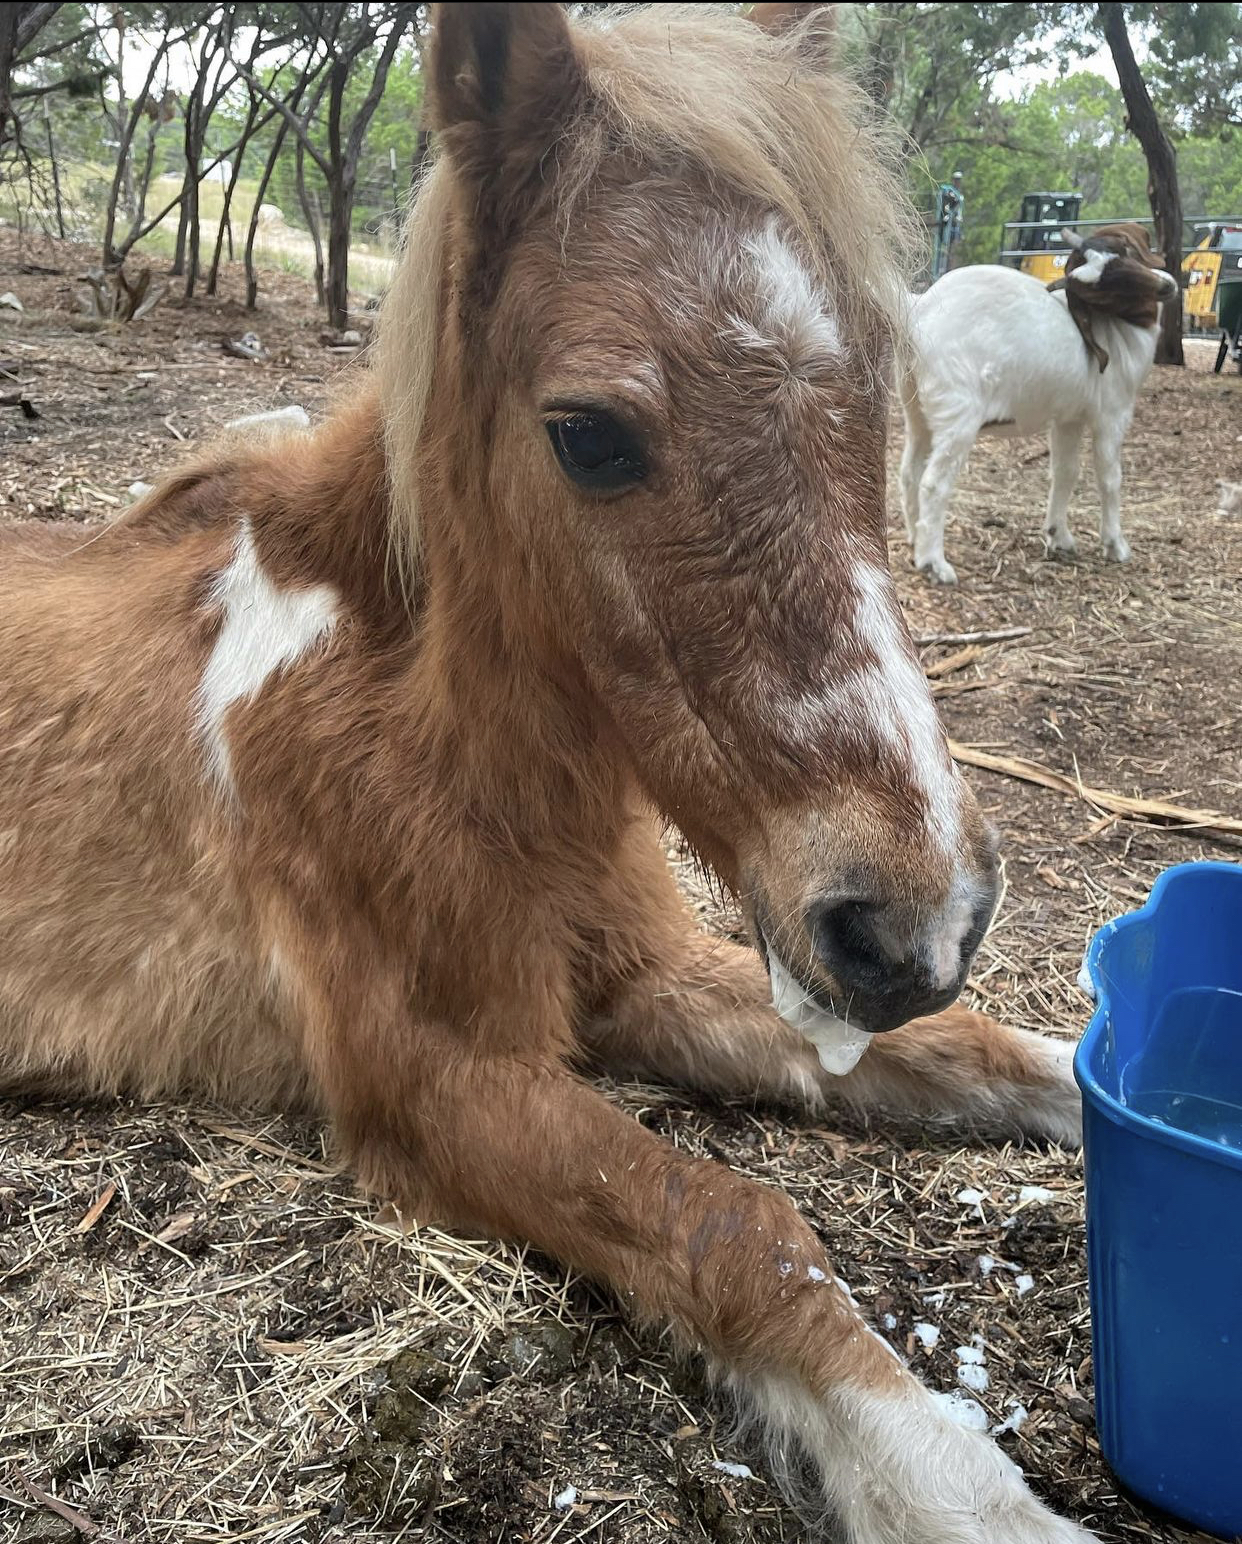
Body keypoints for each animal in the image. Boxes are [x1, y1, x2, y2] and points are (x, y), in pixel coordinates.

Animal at [0, 5, 1090, 1539]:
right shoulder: (436, 1083)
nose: (913, 923)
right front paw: (958, 1491)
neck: (420, 733)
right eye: (588, 433)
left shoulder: (652, 976)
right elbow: (737, 1223)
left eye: (876, 387)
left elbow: (979, 1053)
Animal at [900, 224, 1179, 583]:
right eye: (1109, 289)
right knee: (933, 483)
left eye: (1125, 253)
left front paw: (1059, 536)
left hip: (916, 407)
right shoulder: (1112, 414)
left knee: (910, 472)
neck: (1117, 332)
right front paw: (1116, 546)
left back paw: (915, 538)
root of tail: (919, 310)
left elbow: (1066, 472)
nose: (1166, 286)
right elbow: (1110, 478)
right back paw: (934, 563)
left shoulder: (1068, 418)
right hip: (957, 413)